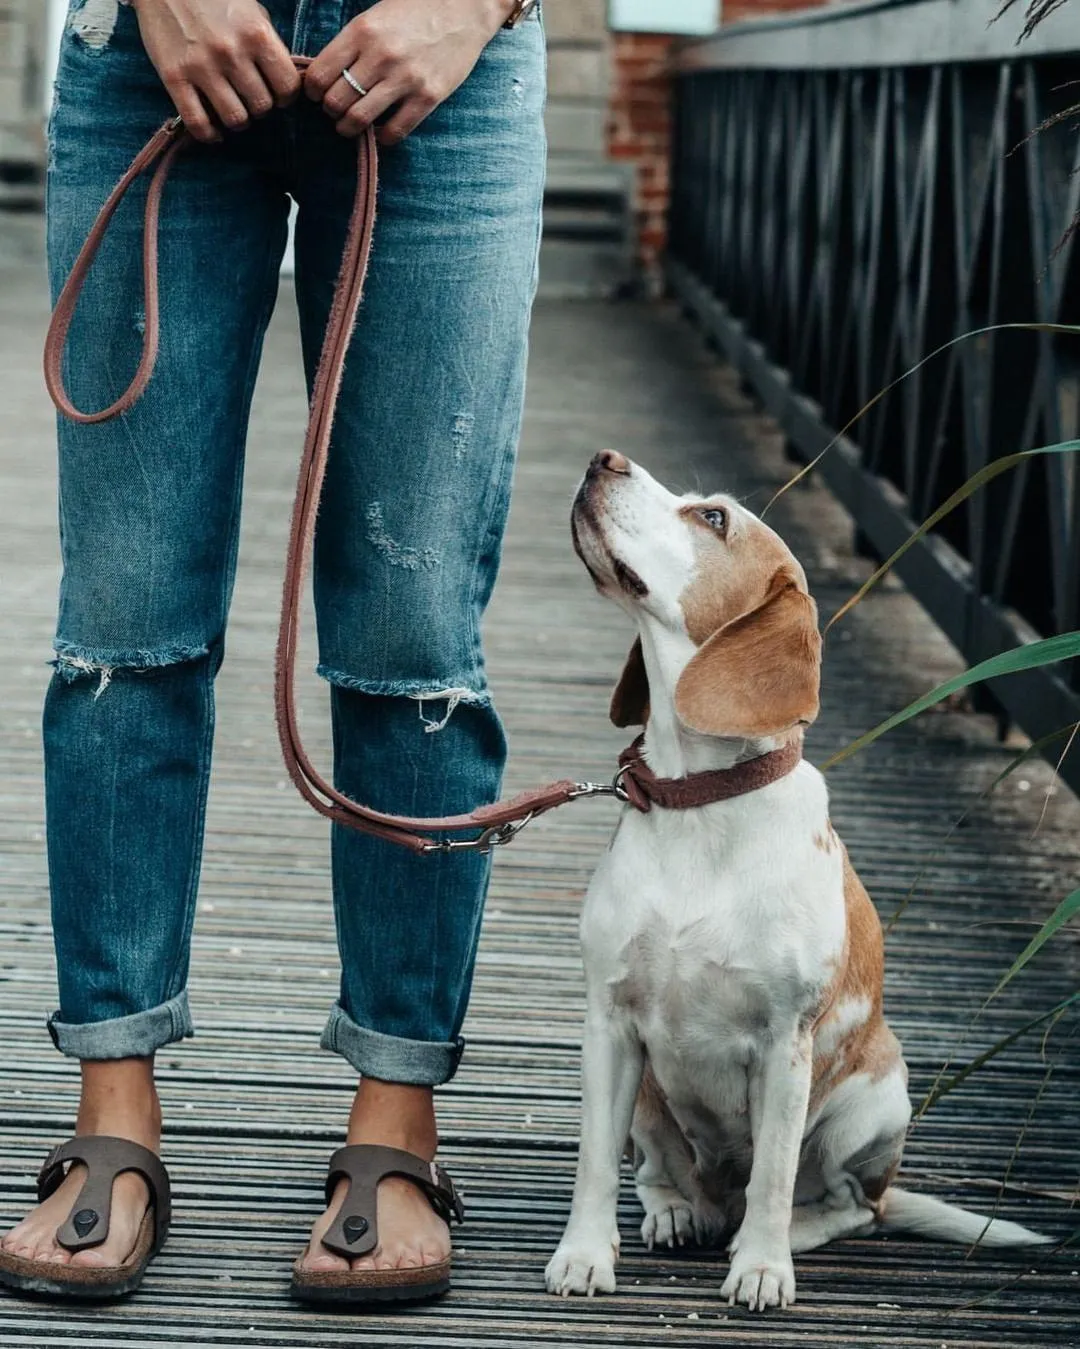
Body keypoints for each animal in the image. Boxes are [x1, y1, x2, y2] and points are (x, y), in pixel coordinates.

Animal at [547, 450, 1046, 1305]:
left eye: (713, 517)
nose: (604, 458)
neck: (700, 797)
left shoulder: (785, 1045)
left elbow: (775, 1176)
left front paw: (761, 1266)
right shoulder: (609, 1025)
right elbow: (593, 1164)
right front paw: (584, 1253)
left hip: (874, 1102)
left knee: (851, 1205)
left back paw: (779, 1235)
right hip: (648, 1098)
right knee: (660, 1173)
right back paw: (678, 1210)